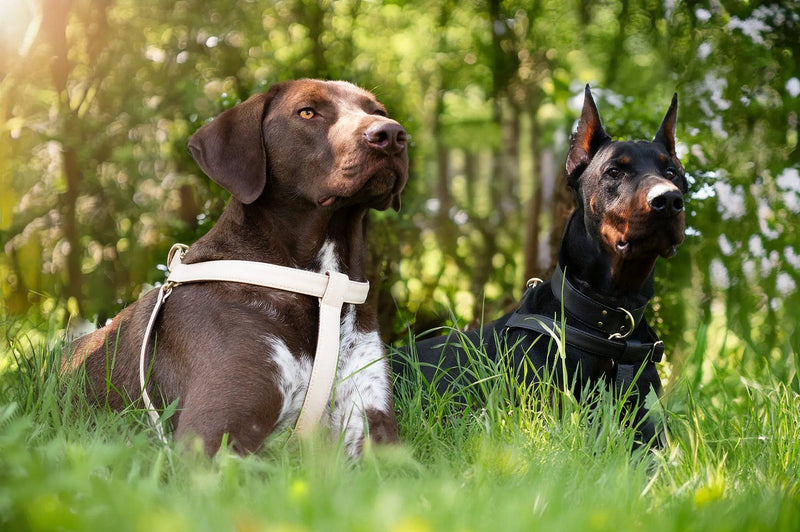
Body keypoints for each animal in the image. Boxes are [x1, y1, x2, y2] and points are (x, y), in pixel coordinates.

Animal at [66, 79, 410, 458]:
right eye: (307, 112)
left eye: (377, 111)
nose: (392, 134)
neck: (321, 283)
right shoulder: (213, 431)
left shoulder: (372, 424)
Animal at [396, 86, 684, 444]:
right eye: (614, 171)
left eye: (672, 173)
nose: (668, 199)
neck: (613, 324)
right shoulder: (551, 421)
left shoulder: (652, 436)